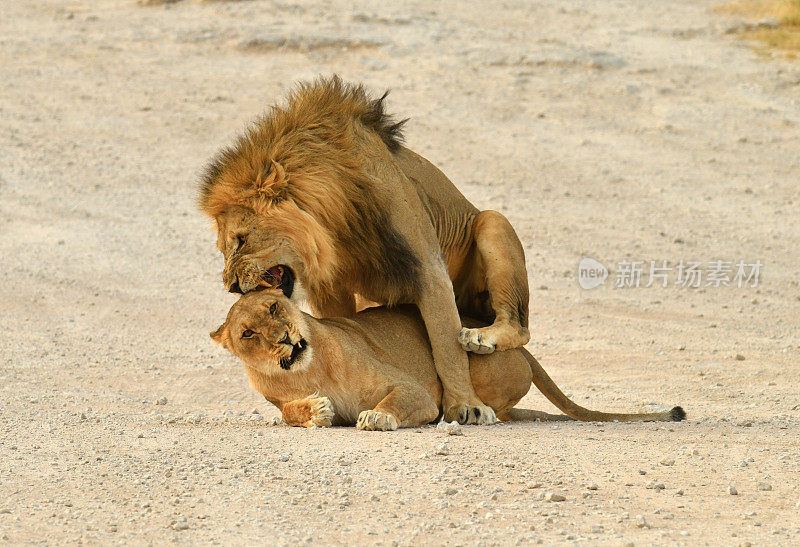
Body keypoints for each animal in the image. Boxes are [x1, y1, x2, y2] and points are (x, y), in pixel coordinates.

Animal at [200, 77, 532, 426]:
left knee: (520, 328)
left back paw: (482, 338)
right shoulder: (331, 288)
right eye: (223, 247)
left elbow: (446, 347)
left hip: (493, 222)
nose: (231, 286)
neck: (335, 230)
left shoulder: (426, 267)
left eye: (241, 239)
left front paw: (466, 405)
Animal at [209, 294, 684, 430]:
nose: (284, 338)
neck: (309, 368)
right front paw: (314, 410)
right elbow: (287, 411)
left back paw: (476, 413)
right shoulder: (275, 397)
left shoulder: (416, 391)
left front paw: (376, 418)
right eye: (248, 333)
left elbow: (395, 402)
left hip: (479, 365)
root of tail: (523, 350)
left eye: (274, 307)